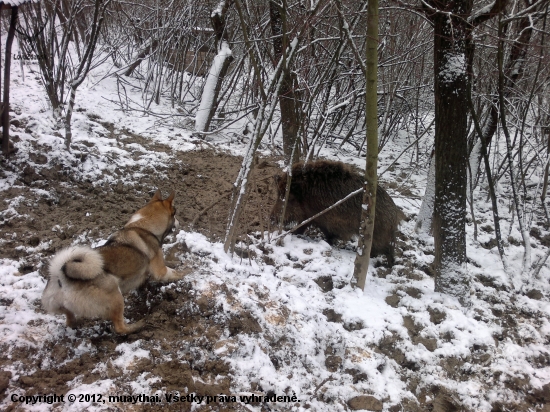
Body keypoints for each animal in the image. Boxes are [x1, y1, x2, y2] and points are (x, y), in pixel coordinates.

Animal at [41, 190, 183, 334]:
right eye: (175, 212)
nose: (179, 222)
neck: (142, 227)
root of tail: (60, 276)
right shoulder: (160, 271)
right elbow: (176, 273)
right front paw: (187, 271)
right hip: (115, 294)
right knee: (119, 327)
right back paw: (138, 326)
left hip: (61, 306)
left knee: (69, 317)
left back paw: (74, 324)